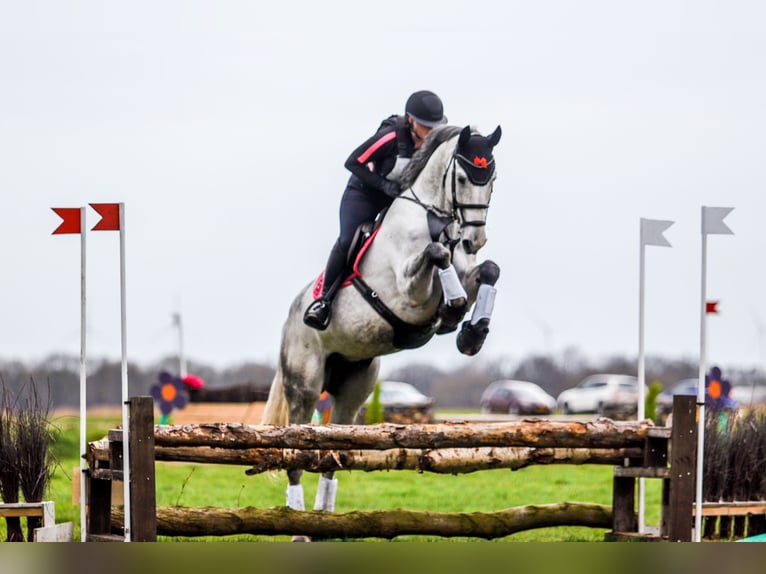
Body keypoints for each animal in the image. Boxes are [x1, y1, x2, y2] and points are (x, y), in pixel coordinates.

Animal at [264, 124, 504, 528]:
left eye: (492, 179)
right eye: (461, 177)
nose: (476, 239)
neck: (432, 219)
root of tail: (289, 320)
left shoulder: (465, 270)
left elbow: (487, 270)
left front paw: (472, 333)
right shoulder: (406, 293)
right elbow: (437, 256)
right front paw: (454, 311)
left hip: (354, 388)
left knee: (332, 450)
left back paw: (321, 520)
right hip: (305, 384)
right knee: (296, 451)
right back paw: (296, 521)